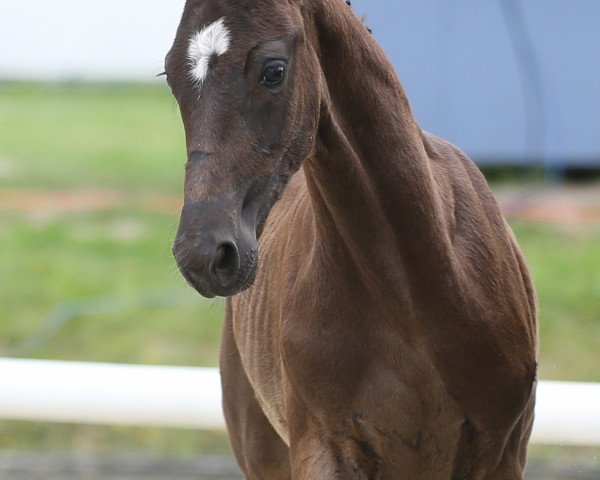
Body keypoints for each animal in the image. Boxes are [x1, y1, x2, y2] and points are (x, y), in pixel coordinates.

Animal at [165, 1, 540, 478]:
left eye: (274, 70)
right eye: (171, 76)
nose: (204, 255)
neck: (412, 299)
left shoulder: (501, 453)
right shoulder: (322, 448)